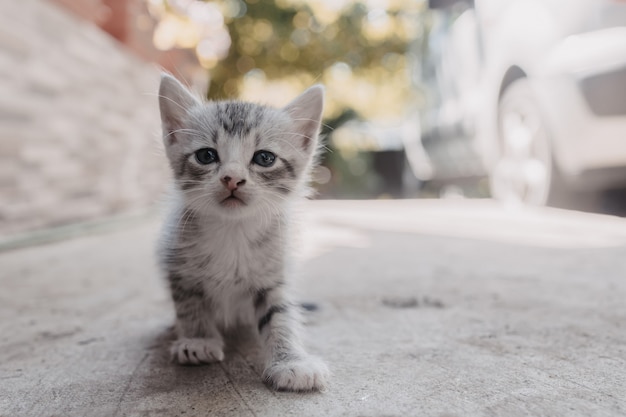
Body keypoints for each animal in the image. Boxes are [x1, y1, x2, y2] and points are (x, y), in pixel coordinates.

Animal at [155, 74, 326, 390]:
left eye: (265, 158)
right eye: (206, 155)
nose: (232, 178)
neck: (233, 231)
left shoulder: (273, 273)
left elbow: (280, 315)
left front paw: (292, 361)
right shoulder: (178, 265)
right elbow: (190, 305)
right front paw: (197, 340)